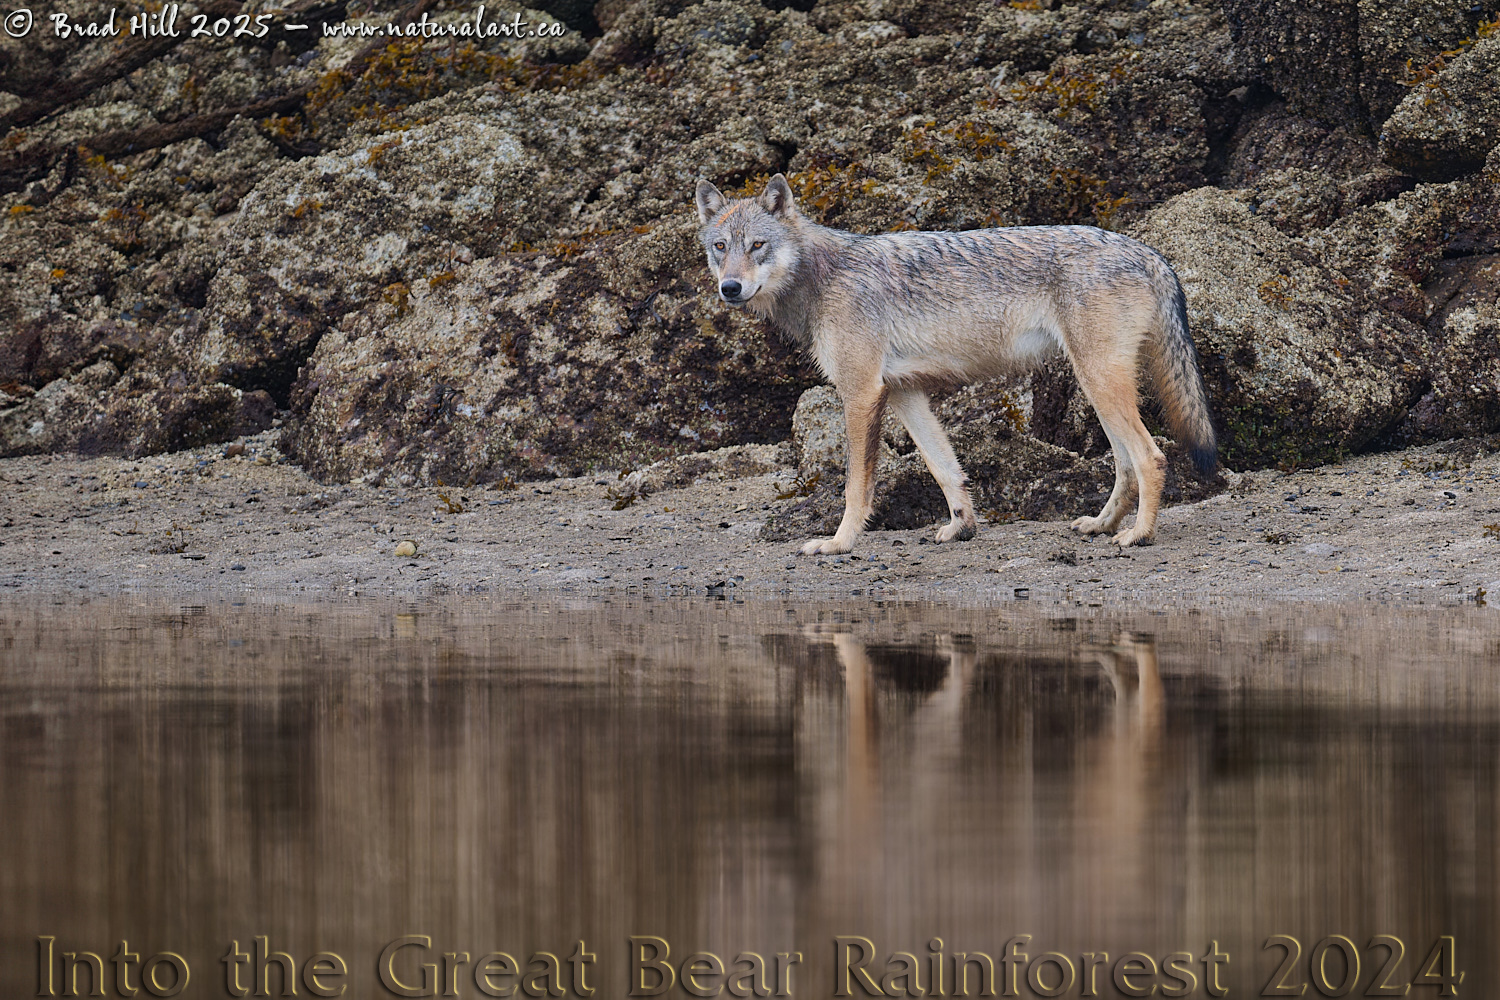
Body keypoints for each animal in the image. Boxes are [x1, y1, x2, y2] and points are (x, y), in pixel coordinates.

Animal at [696, 176, 1212, 560]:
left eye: (757, 245)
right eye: (720, 247)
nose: (730, 288)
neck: (822, 276)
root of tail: (1148, 252)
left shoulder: (861, 392)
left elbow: (856, 486)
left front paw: (840, 543)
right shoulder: (902, 391)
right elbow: (944, 467)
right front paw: (962, 527)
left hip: (1100, 381)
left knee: (1151, 457)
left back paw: (1139, 535)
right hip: (1097, 385)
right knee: (1125, 464)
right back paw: (1102, 525)